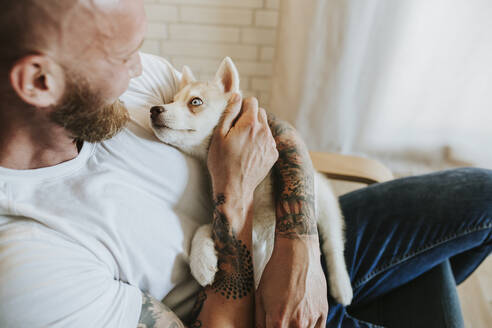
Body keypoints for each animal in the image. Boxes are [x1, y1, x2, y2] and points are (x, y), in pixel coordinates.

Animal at [150, 57, 354, 304]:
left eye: (195, 101)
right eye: (171, 101)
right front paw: (202, 259)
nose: (154, 109)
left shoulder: (267, 223)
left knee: (334, 243)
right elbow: (207, 225)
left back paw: (341, 284)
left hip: (323, 200)